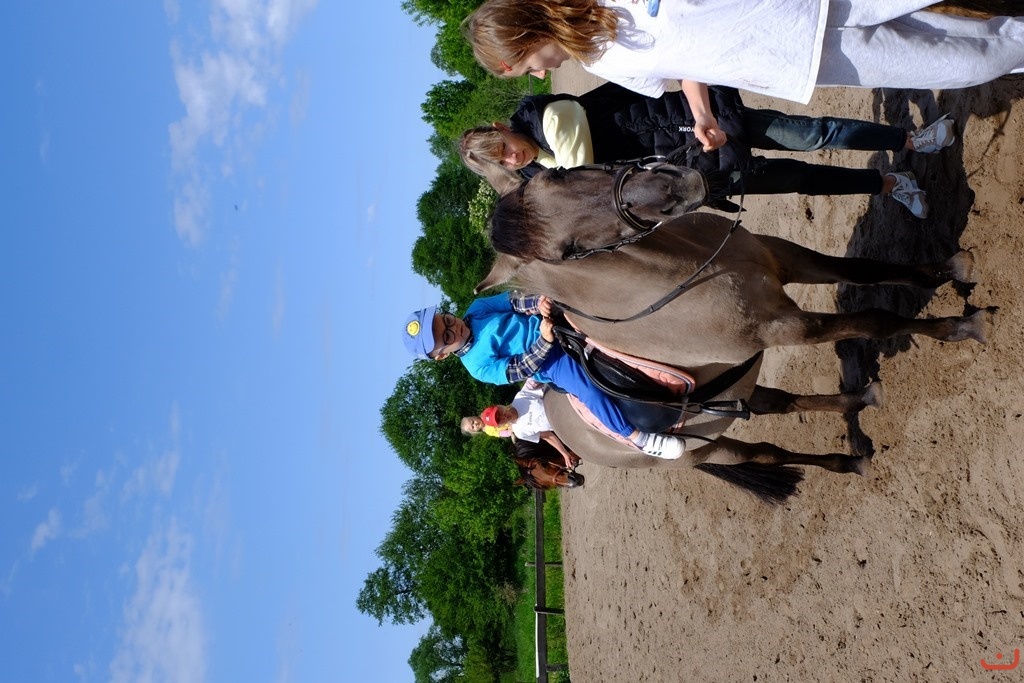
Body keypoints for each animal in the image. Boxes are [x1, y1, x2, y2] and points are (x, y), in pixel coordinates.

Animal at [476, 162, 995, 503]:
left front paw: (948, 269)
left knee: (782, 404)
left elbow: (863, 271)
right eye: (569, 251)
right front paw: (963, 325)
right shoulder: (788, 327)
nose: (672, 187)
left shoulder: (783, 256)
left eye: (557, 174)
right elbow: (874, 320)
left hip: (738, 390)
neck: (683, 274)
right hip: (709, 450)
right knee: (765, 454)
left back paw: (858, 405)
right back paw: (848, 461)